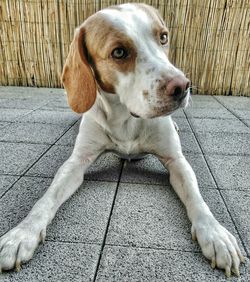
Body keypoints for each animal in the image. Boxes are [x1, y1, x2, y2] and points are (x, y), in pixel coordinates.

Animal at [0, 3, 244, 276]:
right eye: (118, 52)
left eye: (163, 37)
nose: (182, 86)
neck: (127, 117)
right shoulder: (76, 163)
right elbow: (46, 199)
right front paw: (21, 235)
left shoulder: (176, 161)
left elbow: (197, 199)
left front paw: (216, 235)